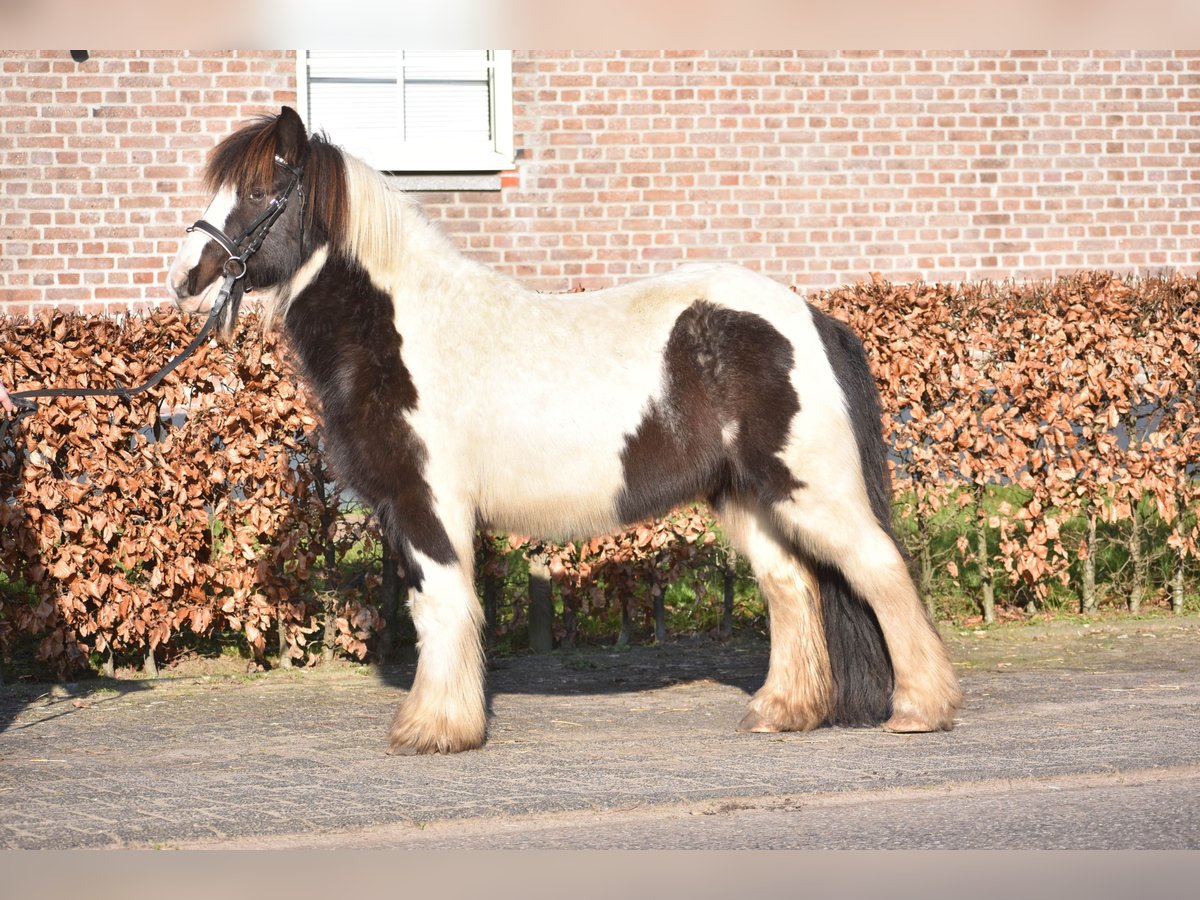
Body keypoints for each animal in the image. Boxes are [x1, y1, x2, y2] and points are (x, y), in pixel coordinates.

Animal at [169, 109, 960, 758]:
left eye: (259, 191)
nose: (186, 276)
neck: (403, 331)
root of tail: (812, 318)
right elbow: (437, 605)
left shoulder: (428, 504)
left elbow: (441, 604)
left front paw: (436, 729)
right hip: (749, 499)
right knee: (792, 587)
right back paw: (782, 713)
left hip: (811, 490)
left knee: (880, 570)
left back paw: (920, 709)